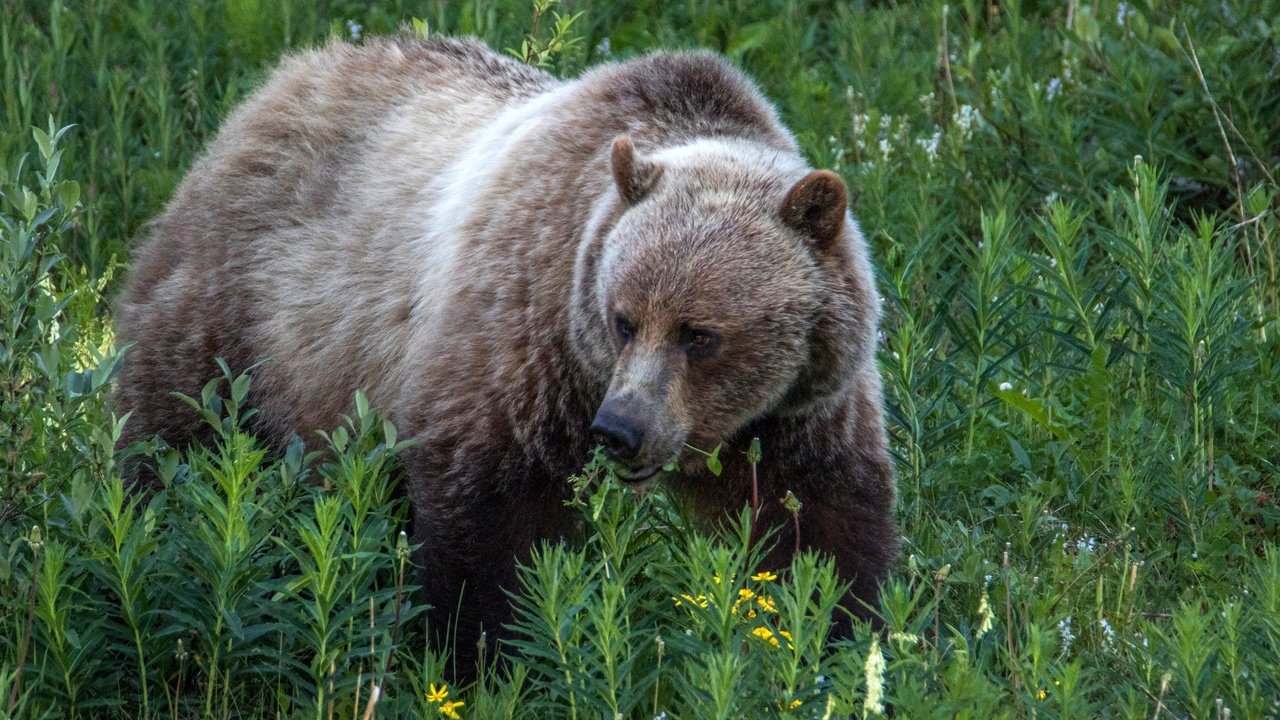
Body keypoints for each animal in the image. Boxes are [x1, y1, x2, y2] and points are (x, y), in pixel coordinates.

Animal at [117, 36, 901, 666]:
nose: (620, 430)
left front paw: (830, 637)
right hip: (248, 305)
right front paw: (491, 654)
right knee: (177, 423)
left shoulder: (804, 403)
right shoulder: (525, 329)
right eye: (624, 320)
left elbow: (820, 524)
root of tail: (278, 80)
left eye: (699, 333)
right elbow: (492, 513)